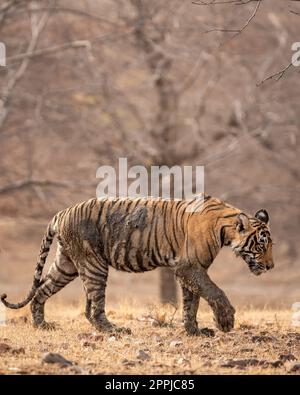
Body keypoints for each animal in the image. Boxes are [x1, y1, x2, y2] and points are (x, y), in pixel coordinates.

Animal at [0, 195, 274, 338]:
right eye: (261, 246)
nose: (271, 266)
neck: (224, 230)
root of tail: (63, 211)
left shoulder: (190, 270)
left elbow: (192, 301)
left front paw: (194, 330)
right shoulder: (188, 267)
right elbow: (214, 291)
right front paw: (225, 321)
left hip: (67, 264)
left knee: (41, 290)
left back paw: (41, 324)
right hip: (94, 264)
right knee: (95, 306)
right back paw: (114, 329)